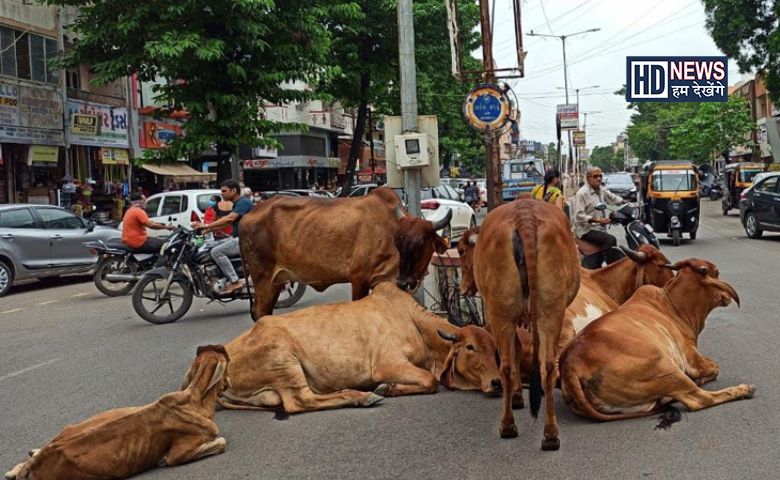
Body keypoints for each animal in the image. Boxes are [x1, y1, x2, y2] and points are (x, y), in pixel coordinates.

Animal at [6, 344, 232, 480]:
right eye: (227, 366)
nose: (228, 384)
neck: (194, 399)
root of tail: (38, 464)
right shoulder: (178, 454)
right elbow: (221, 443)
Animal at [219, 284, 500, 414]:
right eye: (470, 347)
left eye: (496, 350)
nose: (497, 383)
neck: (413, 321)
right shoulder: (386, 364)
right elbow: (429, 380)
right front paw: (385, 389)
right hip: (285, 362)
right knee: (300, 401)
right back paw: (362, 397)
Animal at [241, 188, 454, 318]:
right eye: (398, 243)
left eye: (420, 244)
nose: (404, 282)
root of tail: (247, 216)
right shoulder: (359, 278)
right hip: (263, 279)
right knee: (260, 312)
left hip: (277, 281)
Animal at [458, 199, 580, 450]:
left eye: (462, 251)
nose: (462, 287)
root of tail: (525, 216)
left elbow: (516, 350)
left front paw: (516, 396)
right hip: (550, 310)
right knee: (547, 366)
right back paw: (550, 434)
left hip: (501, 312)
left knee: (505, 365)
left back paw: (508, 426)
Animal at [560, 258, 756, 424]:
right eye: (716, 273)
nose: (727, 296)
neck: (675, 306)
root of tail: (571, 366)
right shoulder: (691, 357)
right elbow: (715, 368)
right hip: (664, 365)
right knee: (699, 399)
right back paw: (744, 389)